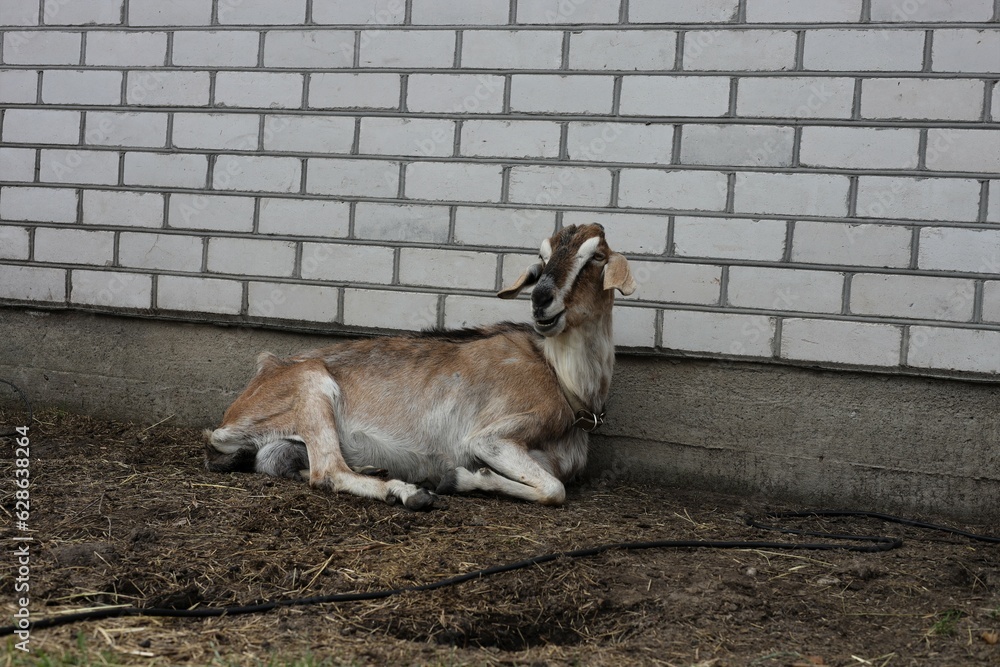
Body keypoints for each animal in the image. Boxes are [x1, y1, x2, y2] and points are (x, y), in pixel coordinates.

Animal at [204, 223, 637, 509]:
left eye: (596, 257)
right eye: (542, 258)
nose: (541, 300)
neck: (564, 381)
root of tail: (230, 418)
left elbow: (554, 484)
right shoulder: (492, 436)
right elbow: (553, 490)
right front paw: (455, 478)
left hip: (283, 441)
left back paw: (379, 471)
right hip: (313, 385)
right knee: (326, 471)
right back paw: (408, 491)